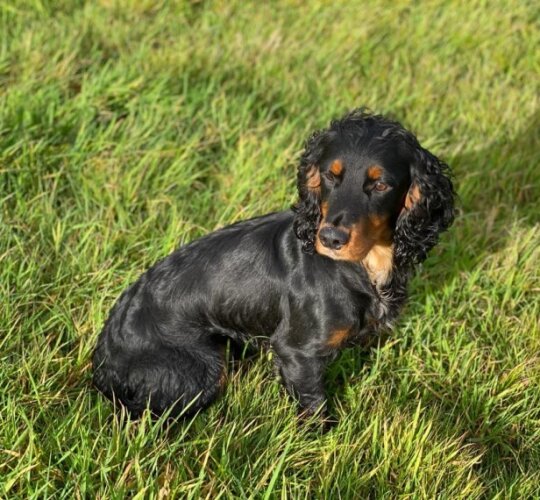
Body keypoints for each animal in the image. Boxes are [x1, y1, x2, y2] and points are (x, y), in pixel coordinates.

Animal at [93, 108, 456, 418]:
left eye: (380, 184)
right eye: (330, 176)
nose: (331, 238)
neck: (365, 265)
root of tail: (103, 358)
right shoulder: (296, 352)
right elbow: (315, 406)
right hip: (202, 368)